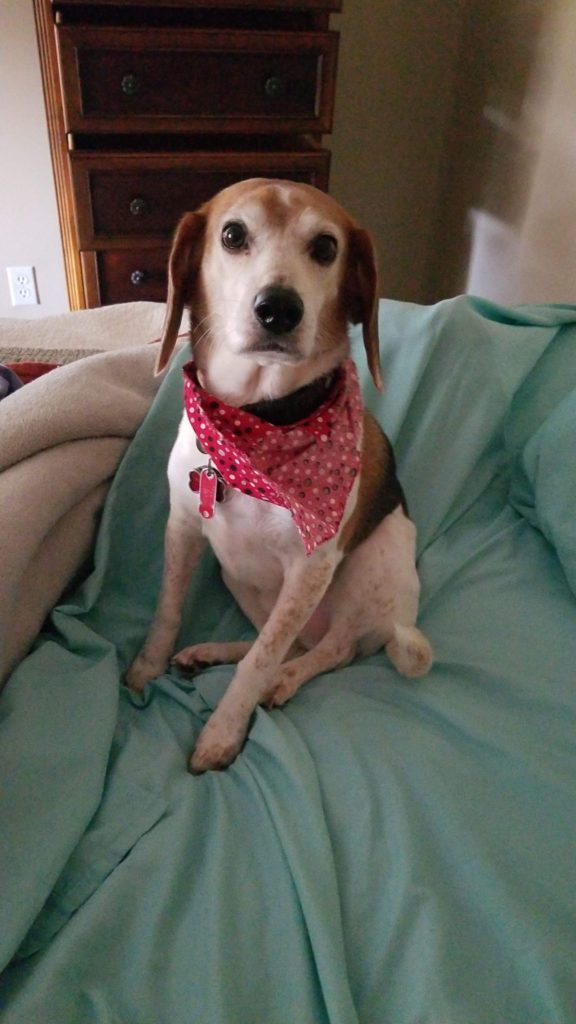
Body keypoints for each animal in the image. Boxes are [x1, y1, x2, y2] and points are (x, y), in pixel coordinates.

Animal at [125, 178, 430, 770]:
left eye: (326, 247)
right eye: (232, 235)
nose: (278, 309)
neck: (258, 422)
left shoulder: (310, 568)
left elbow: (261, 660)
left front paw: (223, 732)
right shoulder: (181, 528)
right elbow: (167, 611)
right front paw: (148, 667)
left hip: (369, 564)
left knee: (328, 650)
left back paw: (283, 680)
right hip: (235, 575)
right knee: (290, 640)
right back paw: (208, 653)